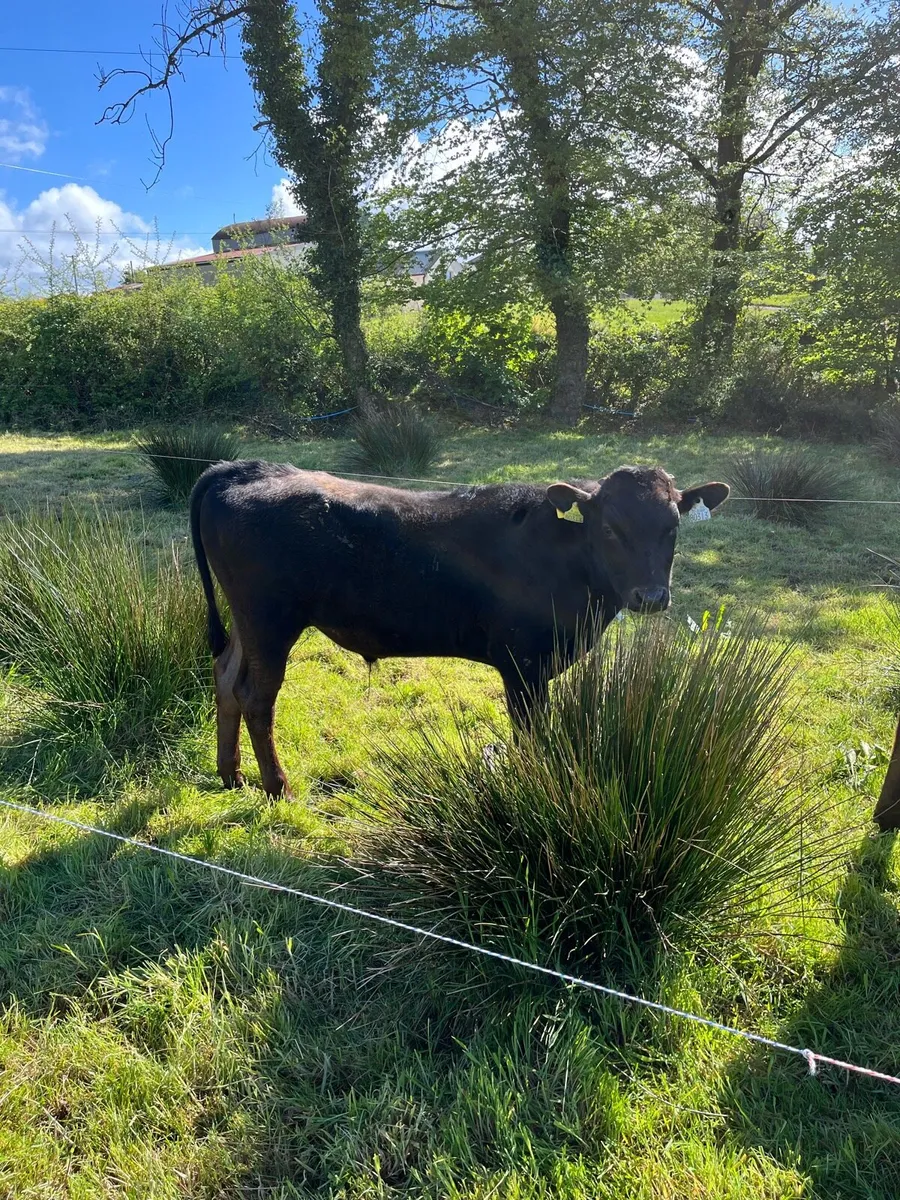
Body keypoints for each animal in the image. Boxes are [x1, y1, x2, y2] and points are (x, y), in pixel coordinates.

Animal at [189, 460, 729, 797]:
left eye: (672, 527)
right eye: (611, 528)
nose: (651, 597)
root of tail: (246, 467)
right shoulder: (523, 664)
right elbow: (530, 735)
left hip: (247, 621)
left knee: (226, 678)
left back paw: (231, 775)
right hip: (269, 619)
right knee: (256, 695)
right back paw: (277, 787)